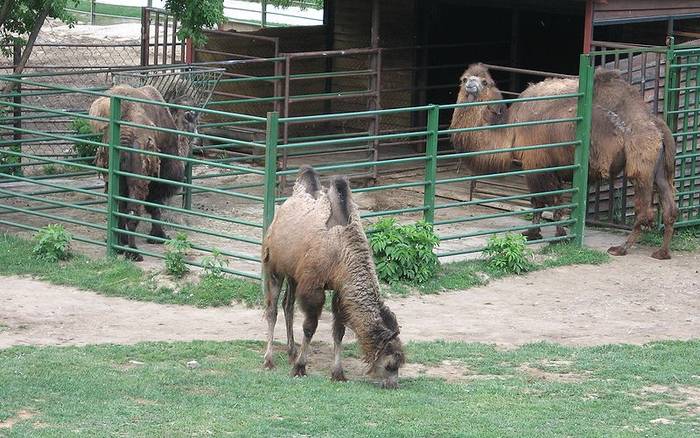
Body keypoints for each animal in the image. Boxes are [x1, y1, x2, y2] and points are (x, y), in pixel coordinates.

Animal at [89, 85, 200, 260]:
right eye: (192, 117)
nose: (196, 134)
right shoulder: (159, 180)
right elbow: (156, 206)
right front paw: (158, 236)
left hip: (115, 175)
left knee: (119, 208)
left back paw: (119, 245)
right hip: (138, 177)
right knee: (133, 212)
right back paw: (134, 253)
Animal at [262, 166, 404, 388]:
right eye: (390, 364)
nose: (393, 385)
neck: (342, 251)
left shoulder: (340, 288)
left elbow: (339, 330)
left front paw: (338, 373)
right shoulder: (313, 286)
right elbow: (310, 327)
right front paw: (300, 368)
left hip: (294, 274)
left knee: (288, 305)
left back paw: (291, 352)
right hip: (273, 266)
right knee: (272, 310)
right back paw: (269, 360)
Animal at [452, 64, 676, 260]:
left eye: (485, 82)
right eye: (464, 79)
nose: (470, 85)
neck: (510, 129)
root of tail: (656, 125)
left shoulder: (537, 164)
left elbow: (544, 201)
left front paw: (549, 235)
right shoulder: (551, 166)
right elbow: (551, 201)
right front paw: (541, 233)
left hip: (641, 161)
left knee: (645, 210)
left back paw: (621, 248)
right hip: (660, 167)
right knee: (669, 206)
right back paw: (662, 252)